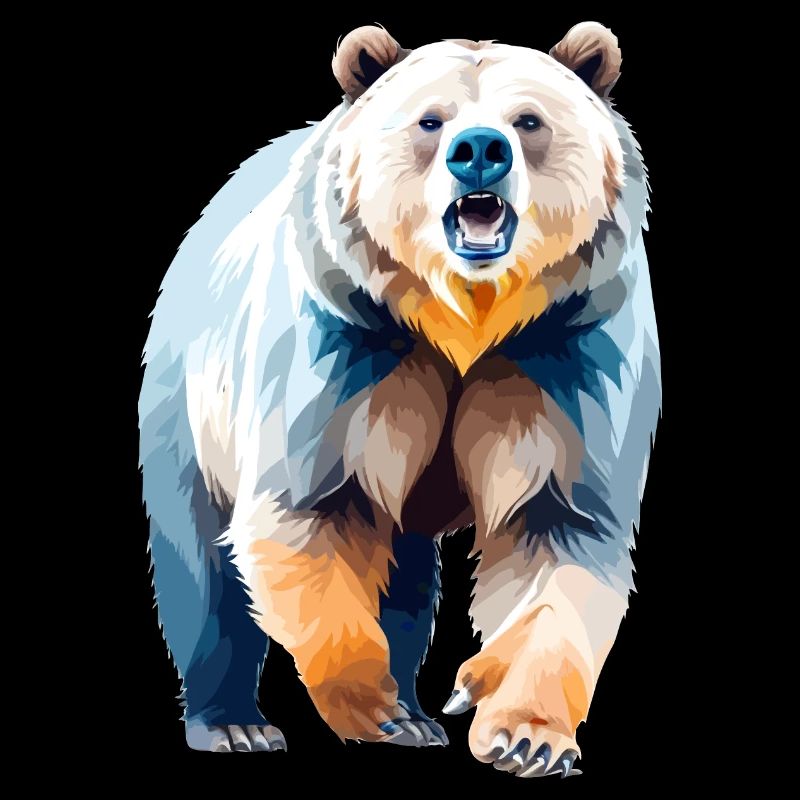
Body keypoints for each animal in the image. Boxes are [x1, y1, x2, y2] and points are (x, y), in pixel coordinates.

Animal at [139, 21, 660, 775]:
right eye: (431, 120)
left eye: (529, 120)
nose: (480, 152)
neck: (465, 321)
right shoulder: (350, 349)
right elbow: (309, 512)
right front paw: (375, 708)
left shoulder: (562, 355)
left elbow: (560, 533)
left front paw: (522, 731)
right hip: (190, 397)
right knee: (202, 563)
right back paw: (236, 722)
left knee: (408, 579)